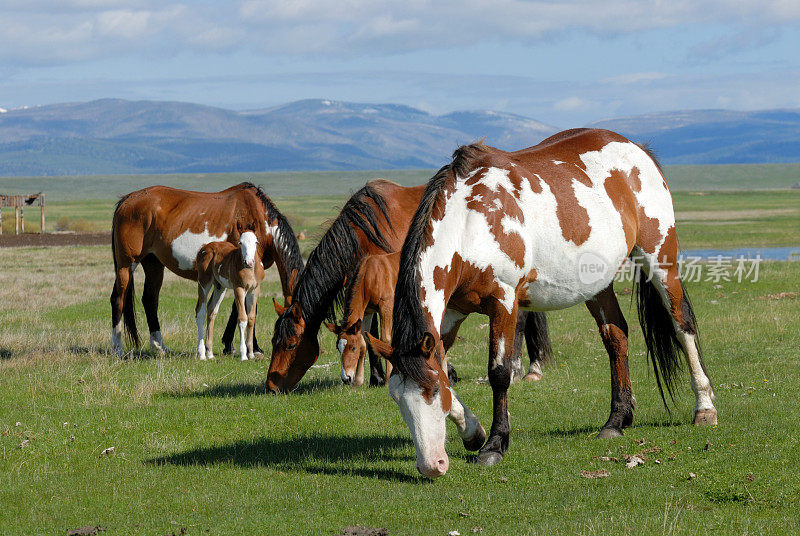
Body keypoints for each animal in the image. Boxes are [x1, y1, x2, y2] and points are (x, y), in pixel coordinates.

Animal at [196, 230, 266, 360]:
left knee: (211, 310)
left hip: (219, 287)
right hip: (204, 282)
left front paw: (251, 354)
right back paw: (202, 354)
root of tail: (204, 248)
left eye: (256, 242)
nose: (248, 262)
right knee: (200, 311)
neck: (250, 271)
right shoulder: (239, 289)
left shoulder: (254, 290)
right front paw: (243, 355)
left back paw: (210, 354)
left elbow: (251, 318)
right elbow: (242, 318)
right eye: (240, 242)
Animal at [268, 180, 552, 394]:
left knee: (520, 322)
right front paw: (376, 377)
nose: (271, 386)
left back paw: (521, 369)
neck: (365, 231)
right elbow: (370, 334)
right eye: (273, 341)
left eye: (290, 344)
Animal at [368, 129, 720, 478]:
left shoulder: (504, 301)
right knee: (616, 336)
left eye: (432, 392)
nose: (431, 466)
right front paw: (472, 431)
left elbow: (499, 373)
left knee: (682, 325)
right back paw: (617, 420)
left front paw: (494, 444)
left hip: (660, 260)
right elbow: (444, 366)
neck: (470, 220)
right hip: (598, 284)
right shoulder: (452, 313)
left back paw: (704, 407)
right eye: (397, 399)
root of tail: (638, 149)